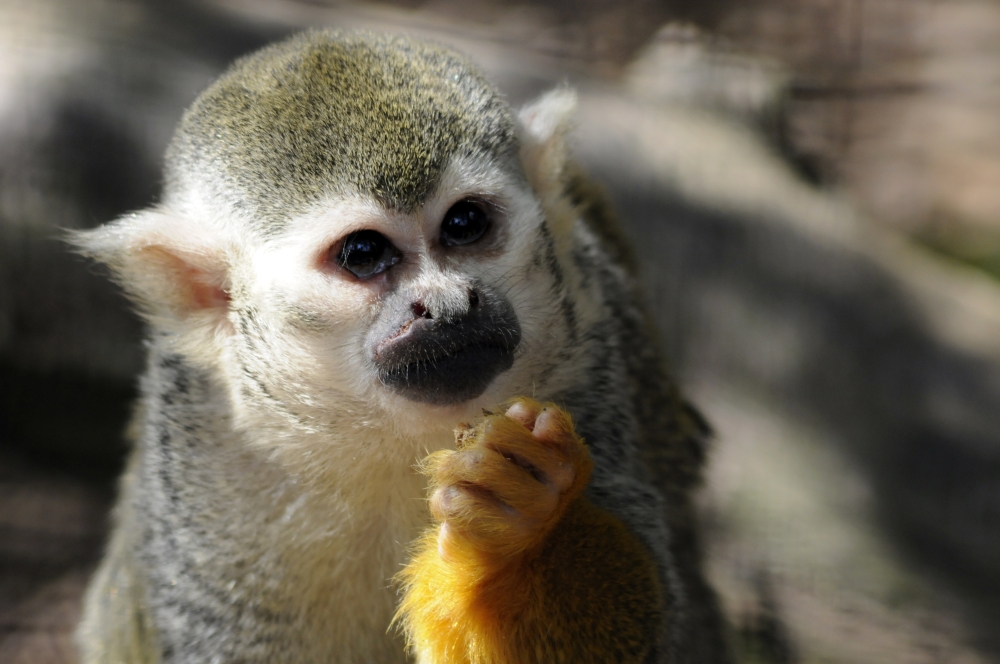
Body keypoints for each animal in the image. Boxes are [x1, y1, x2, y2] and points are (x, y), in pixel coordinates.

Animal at [73, 30, 731, 663]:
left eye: (465, 224)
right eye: (363, 254)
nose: (448, 305)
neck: (391, 433)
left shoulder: (586, 352)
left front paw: (523, 536)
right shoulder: (208, 454)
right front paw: (510, 543)